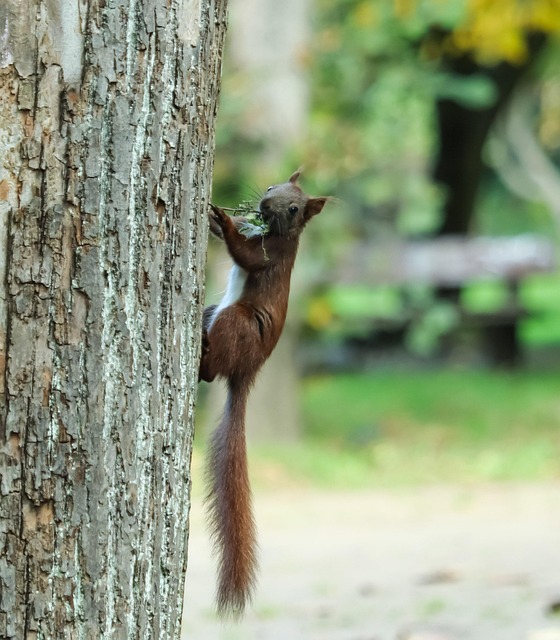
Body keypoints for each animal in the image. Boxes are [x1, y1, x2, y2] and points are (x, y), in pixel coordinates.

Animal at [199, 171, 328, 617]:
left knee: (211, 372)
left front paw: (222, 219)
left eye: (294, 208)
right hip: (214, 312)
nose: (264, 207)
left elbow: (247, 257)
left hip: (237, 323)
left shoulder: (271, 256)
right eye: (272, 188)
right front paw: (216, 216)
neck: (277, 233)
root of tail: (246, 371)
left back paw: (201, 358)